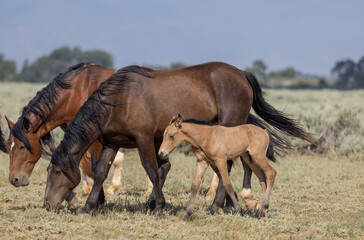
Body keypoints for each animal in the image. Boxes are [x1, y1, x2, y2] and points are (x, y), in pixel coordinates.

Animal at [44, 61, 314, 215]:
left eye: (56, 171)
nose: (48, 204)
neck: (119, 100)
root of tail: (242, 74)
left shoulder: (144, 140)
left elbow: (153, 171)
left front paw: (158, 207)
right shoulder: (112, 142)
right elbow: (100, 173)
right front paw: (89, 208)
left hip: (228, 130)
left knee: (226, 165)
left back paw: (216, 206)